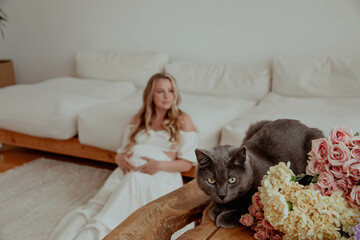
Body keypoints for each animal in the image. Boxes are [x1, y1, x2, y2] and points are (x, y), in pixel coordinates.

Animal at [195, 119, 324, 228]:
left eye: (232, 179)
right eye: (211, 180)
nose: (222, 195)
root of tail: (305, 125)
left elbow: (247, 207)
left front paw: (224, 217)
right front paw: (217, 209)